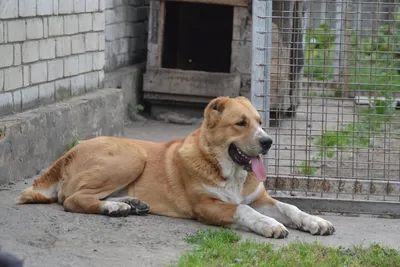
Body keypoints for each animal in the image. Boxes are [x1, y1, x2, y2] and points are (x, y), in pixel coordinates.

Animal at [16, 97, 334, 240]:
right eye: (240, 123)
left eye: (259, 121)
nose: (268, 142)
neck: (227, 170)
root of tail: (68, 153)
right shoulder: (206, 206)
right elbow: (244, 210)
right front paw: (270, 225)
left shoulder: (260, 198)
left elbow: (289, 207)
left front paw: (314, 221)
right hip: (132, 155)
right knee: (71, 199)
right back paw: (114, 208)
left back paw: (129, 204)